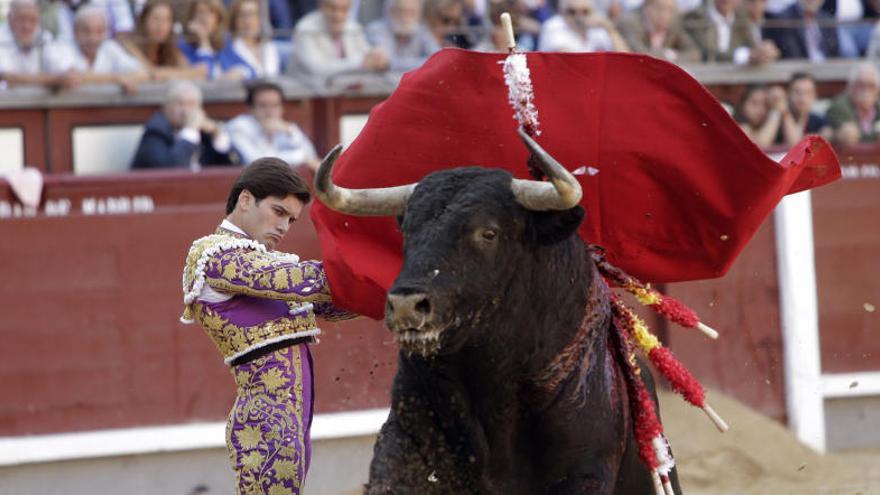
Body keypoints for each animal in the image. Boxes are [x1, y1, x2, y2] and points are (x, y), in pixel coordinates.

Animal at [314, 134, 680, 494]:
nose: (406, 304)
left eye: (488, 232)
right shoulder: (405, 449)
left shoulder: (585, 471)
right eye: (408, 231)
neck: (491, 382)